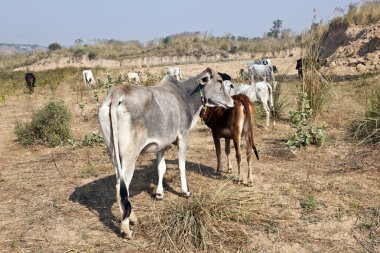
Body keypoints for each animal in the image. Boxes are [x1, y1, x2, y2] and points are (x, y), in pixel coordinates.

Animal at [97, 68, 235, 238]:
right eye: (219, 81)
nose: (232, 102)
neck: (185, 95)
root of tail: (117, 93)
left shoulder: (160, 145)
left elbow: (161, 168)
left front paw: (159, 193)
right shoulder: (183, 136)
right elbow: (182, 166)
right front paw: (185, 191)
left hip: (114, 155)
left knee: (120, 187)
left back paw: (132, 217)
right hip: (129, 157)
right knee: (121, 187)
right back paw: (126, 228)